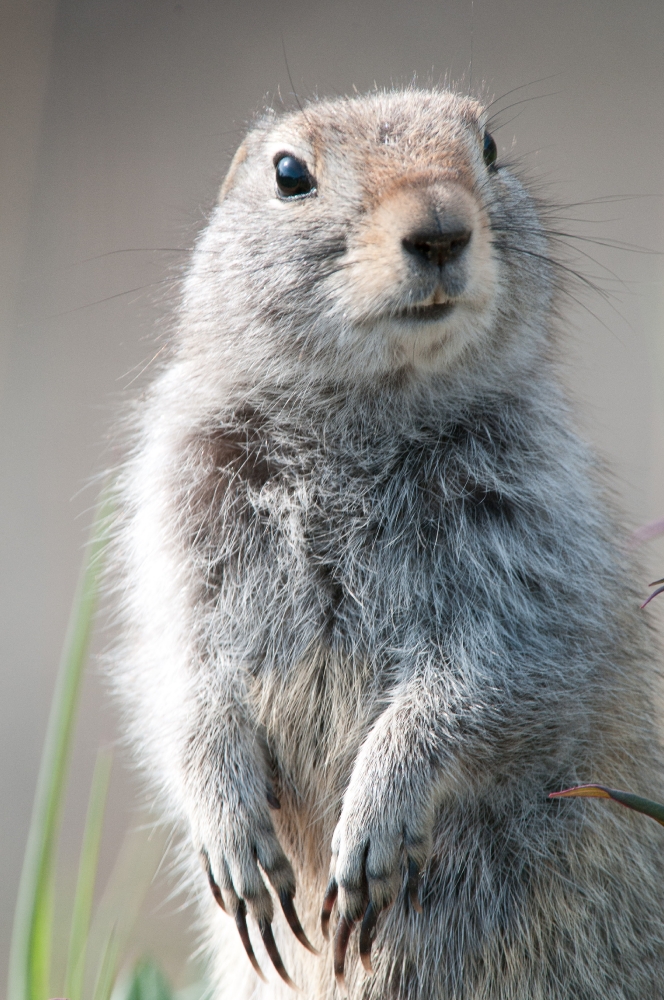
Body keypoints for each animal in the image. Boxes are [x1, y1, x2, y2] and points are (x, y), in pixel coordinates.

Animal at [111, 90, 664, 996]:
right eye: (288, 173)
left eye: (489, 145)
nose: (440, 227)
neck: (364, 411)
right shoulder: (181, 522)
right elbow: (183, 680)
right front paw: (234, 846)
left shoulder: (531, 542)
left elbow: (477, 683)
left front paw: (369, 837)